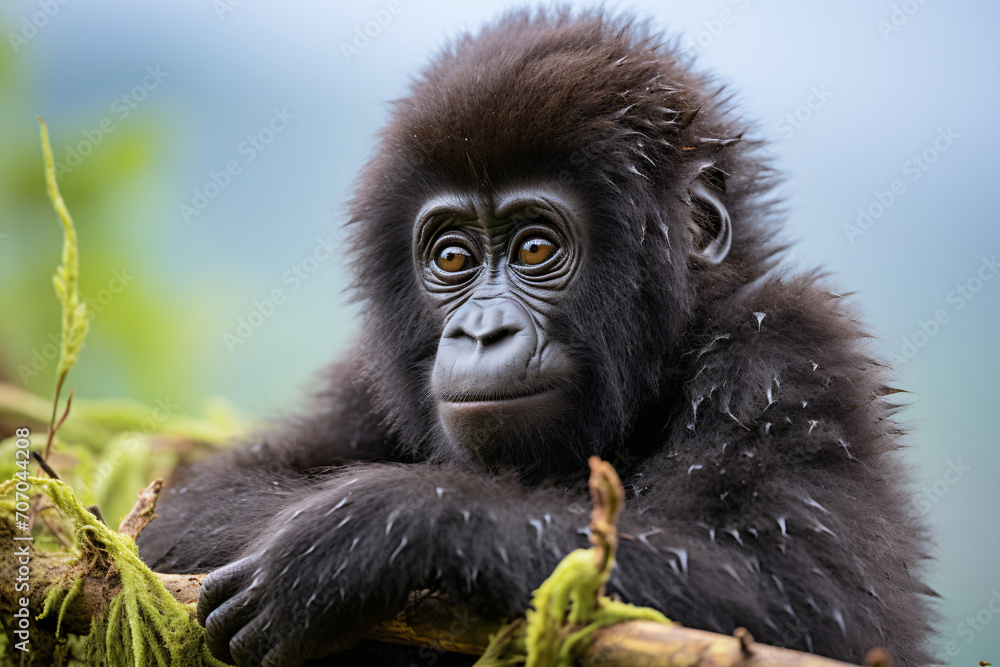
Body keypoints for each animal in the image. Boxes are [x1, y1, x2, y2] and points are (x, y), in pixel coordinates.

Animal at [137, 8, 937, 666]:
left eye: (534, 249)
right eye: (452, 258)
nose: (480, 332)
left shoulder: (791, 347)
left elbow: (793, 600)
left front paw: (363, 532)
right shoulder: (364, 377)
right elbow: (186, 516)